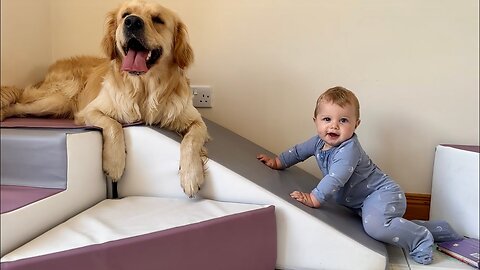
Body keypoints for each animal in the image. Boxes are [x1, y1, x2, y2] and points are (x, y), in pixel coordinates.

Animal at [1, 0, 208, 196]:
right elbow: (113, 125)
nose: (132, 22)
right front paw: (115, 163)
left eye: (158, 19)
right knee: (19, 103)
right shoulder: (90, 110)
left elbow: (191, 140)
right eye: (125, 14)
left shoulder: (195, 120)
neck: (144, 89)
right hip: (56, 100)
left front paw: (191, 176)